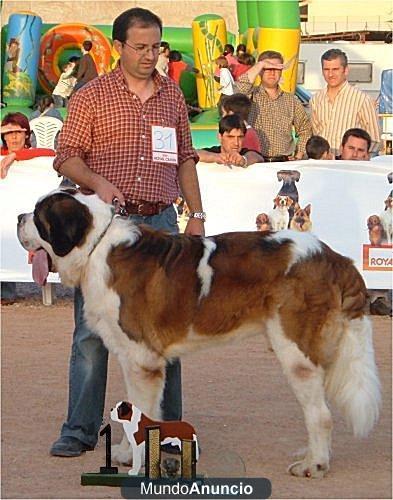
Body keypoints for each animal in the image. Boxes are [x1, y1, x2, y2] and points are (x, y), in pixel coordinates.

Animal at [17, 189, 380, 478]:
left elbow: (140, 408)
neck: (96, 245)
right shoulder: (135, 358)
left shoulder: (141, 359)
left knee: (320, 415)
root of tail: (336, 258)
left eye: (39, 215)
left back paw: (313, 464)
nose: (19, 216)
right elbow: (138, 408)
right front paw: (126, 454)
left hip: (296, 352)